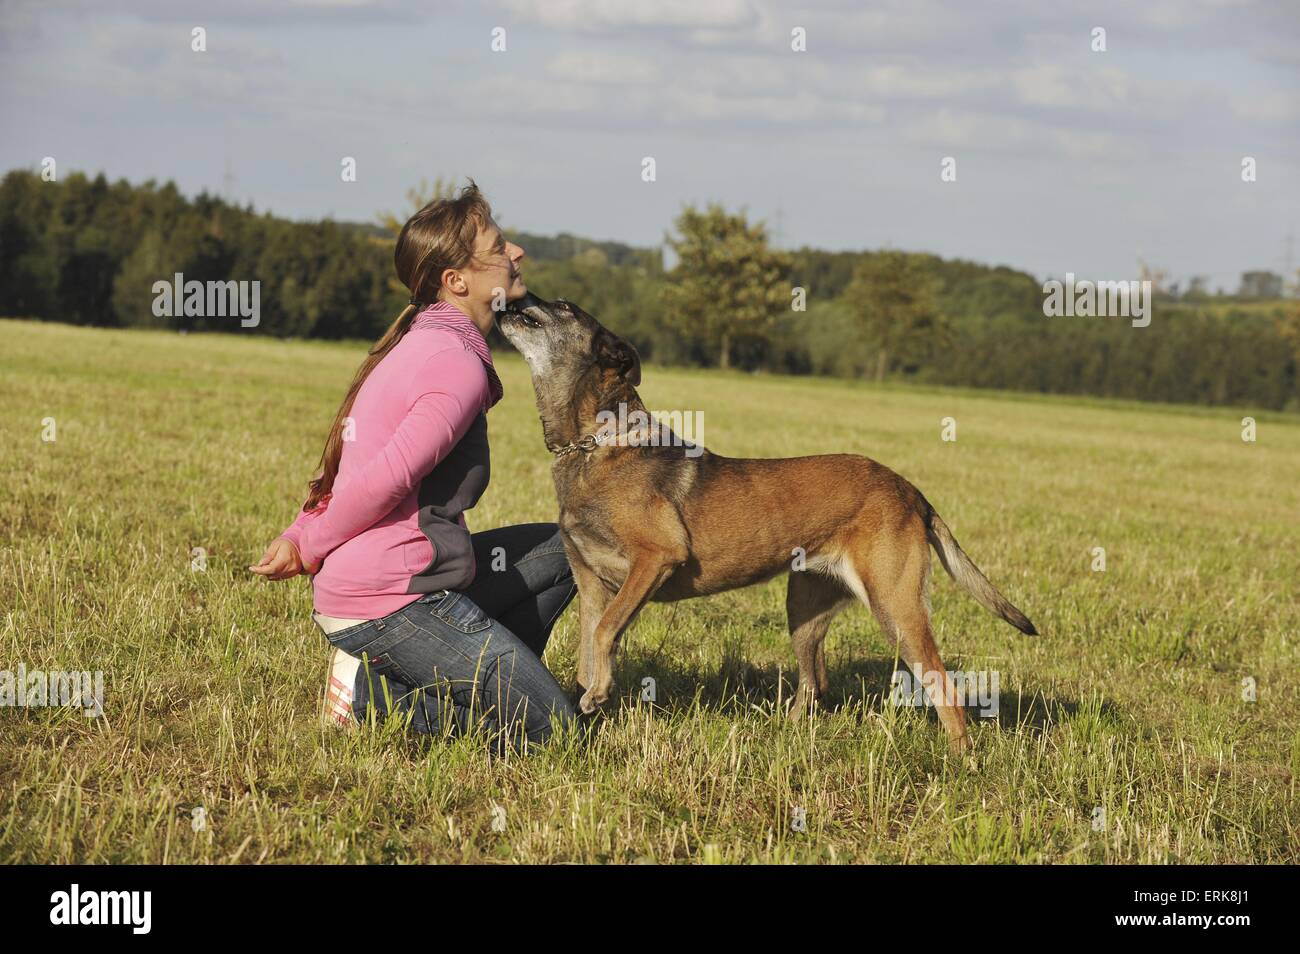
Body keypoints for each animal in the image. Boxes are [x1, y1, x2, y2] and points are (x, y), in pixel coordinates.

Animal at [496, 291, 1034, 753]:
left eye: (564, 306)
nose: (517, 296)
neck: (592, 444)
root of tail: (910, 490)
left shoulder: (655, 560)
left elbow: (606, 632)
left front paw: (599, 695)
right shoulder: (591, 587)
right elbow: (590, 649)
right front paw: (590, 705)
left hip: (896, 608)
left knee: (943, 686)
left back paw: (960, 759)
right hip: (805, 608)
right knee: (815, 682)